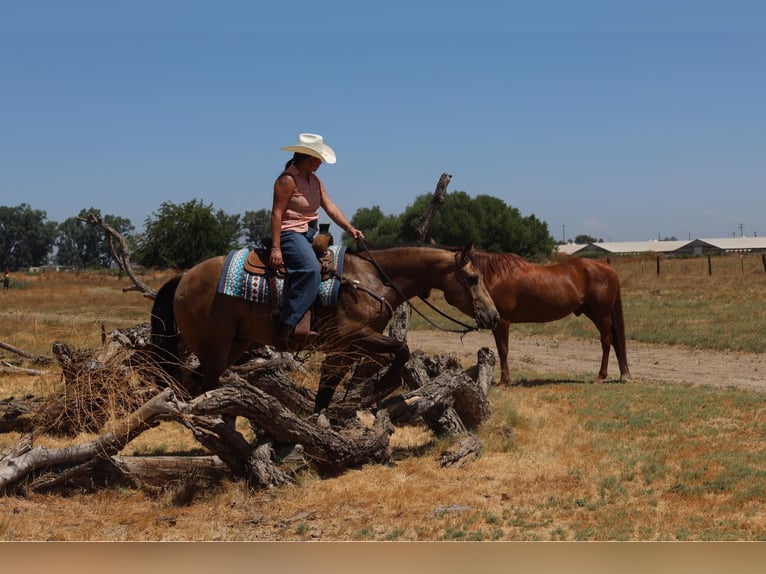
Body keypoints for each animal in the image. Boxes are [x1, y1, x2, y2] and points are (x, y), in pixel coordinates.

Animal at [151, 243, 500, 414]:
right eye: (472, 278)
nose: (494, 316)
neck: (372, 280)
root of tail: (183, 278)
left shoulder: (344, 349)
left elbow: (327, 389)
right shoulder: (353, 337)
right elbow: (401, 349)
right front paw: (382, 385)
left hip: (233, 345)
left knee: (196, 383)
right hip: (214, 347)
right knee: (203, 386)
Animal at [440, 252, 632, 388]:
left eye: (472, 278)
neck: (493, 276)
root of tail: (608, 267)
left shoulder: (501, 322)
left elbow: (503, 350)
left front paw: (504, 381)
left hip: (602, 313)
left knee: (606, 340)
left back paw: (601, 376)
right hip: (592, 312)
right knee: (614, 339)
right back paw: (623, 374)